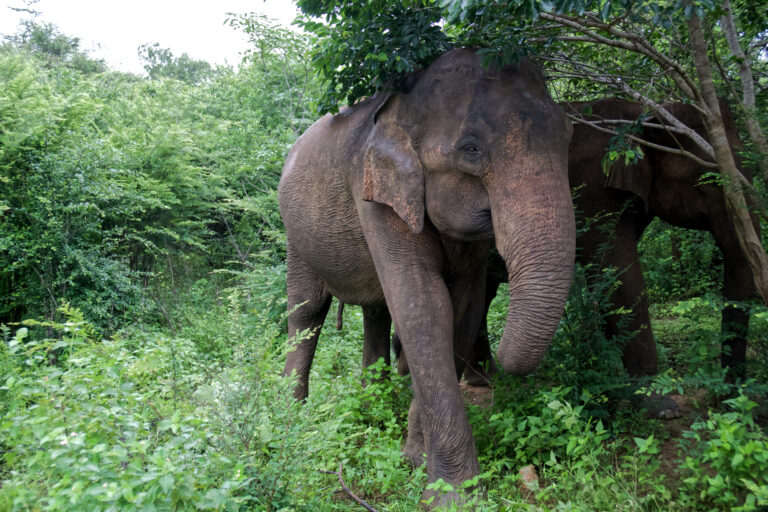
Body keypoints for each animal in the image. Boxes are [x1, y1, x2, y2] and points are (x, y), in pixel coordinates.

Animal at [280, 48, 572, 504]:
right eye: (470, 149)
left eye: (570, 136)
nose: (500, 367)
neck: (406, 100)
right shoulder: (375, 193)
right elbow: (423, 304)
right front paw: (453, 497)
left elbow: (463, 306)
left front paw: (416, 460)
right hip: (295, 233)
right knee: (307, 311)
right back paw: (291, 418)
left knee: (376, 312)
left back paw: (372, 401)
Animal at [462, 97, 756, 388]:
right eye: (709, 181)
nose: (729, 391)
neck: (638, 114)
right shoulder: (592, 189)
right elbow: (621, 276)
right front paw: (649, 393)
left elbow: (604, 279)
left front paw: (607, 367)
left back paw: (484, 379)